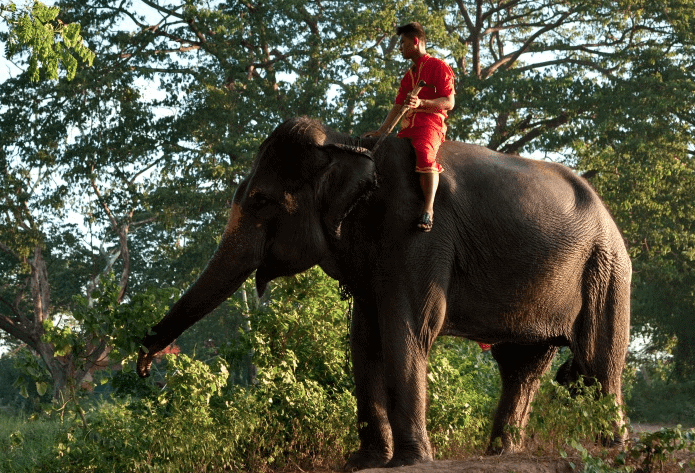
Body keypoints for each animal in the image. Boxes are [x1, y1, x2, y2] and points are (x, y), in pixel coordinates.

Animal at [136, 114, 632, 468]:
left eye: (260, 200)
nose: (144, 362)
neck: (350, 141)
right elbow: (364, 337)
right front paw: (364, 462)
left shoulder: (417, 231)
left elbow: (407, 328)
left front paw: (410, 462)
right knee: (521, 366)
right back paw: (502, 453)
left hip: (605, 268)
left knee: (599, 359)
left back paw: (611, 449)